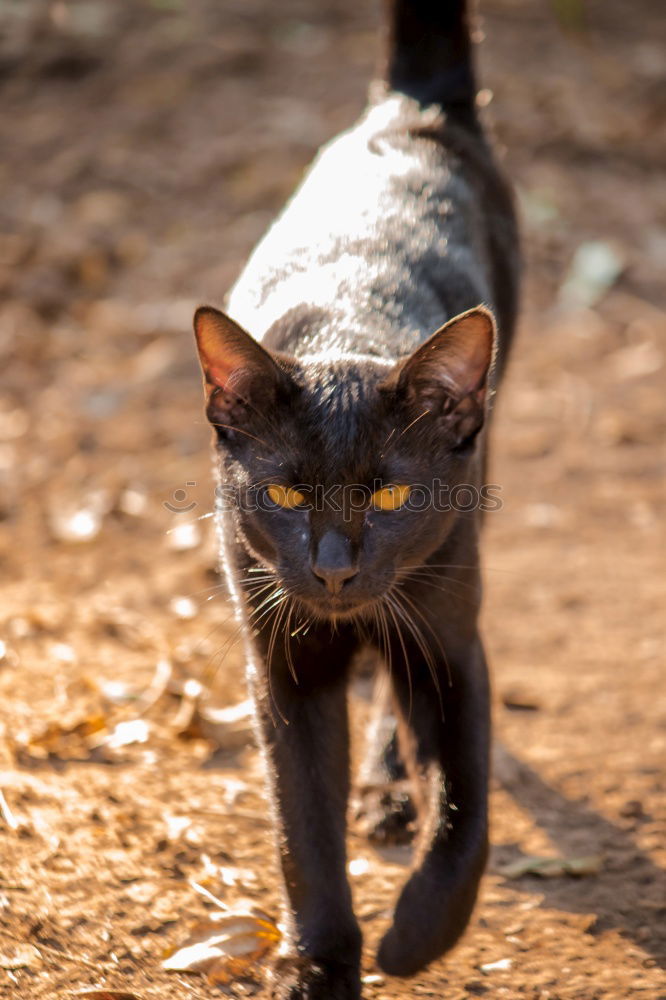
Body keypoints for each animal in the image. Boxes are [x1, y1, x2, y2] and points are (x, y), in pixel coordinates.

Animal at [192, 3, 520, 996]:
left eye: (393, 493)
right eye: (284, 490)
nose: (335, 570)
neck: (348, 323)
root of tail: (412, 110)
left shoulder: (452, 647)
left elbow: (465, 814)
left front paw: (415, 939)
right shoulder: (282, 666)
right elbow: (302, 828)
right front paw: (321, 967)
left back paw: (388, 788)